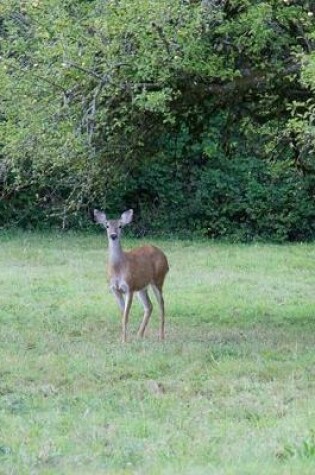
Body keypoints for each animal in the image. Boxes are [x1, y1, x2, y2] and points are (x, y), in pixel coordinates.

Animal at [94, 210, 169, 344]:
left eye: (120, 226)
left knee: (161, 304)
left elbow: (126, 316)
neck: (118, 269)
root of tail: (164, 256)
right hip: (142, 287)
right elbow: (122, 314)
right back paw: (140, 335)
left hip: (158, 279)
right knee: (149, 306)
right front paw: (123, 338)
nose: (113, 235)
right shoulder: (114, 289)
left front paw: (124, 341)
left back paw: (161, 336)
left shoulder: (129, 287)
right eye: (107, 226)